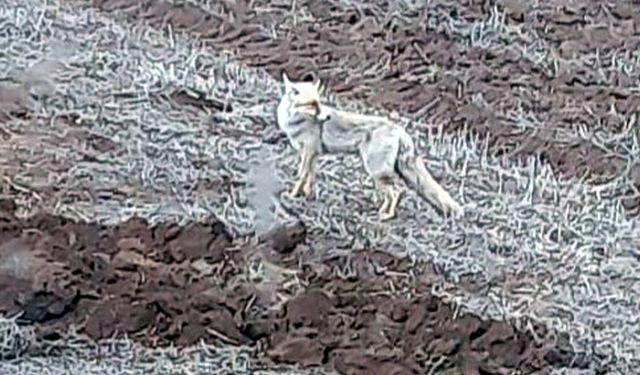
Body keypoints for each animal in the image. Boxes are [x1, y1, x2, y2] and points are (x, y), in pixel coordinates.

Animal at [274, 72, 460, 222]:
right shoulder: (312, 154)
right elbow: (309, 178)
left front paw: (291, 196)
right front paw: (306, 195)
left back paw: (387, 216)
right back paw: (379, 211)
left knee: (397, 191)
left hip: (376, 171)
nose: (327, 117)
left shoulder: (309, 151)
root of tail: (400, 129)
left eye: (318, 102)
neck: (293, 121)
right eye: (312, 104)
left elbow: (300, 176)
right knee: (392, 194)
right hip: (380, 173)